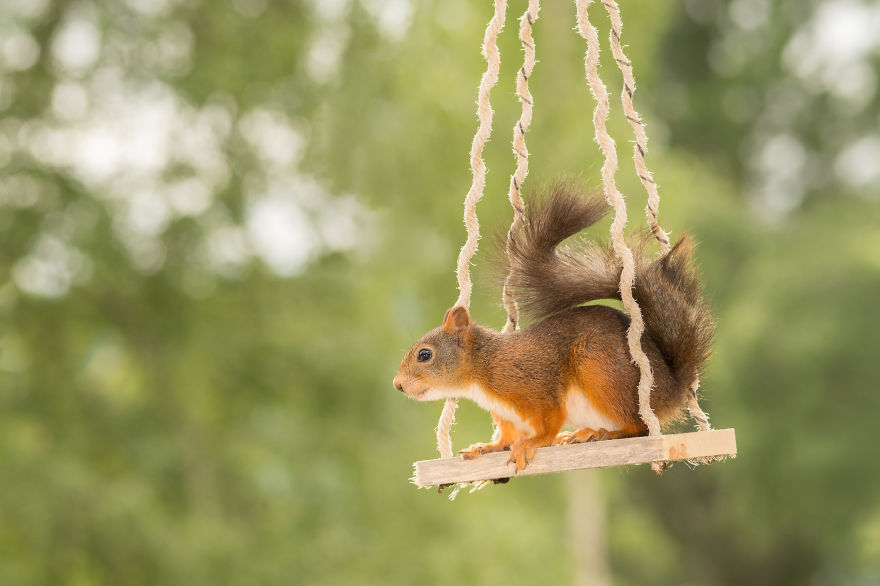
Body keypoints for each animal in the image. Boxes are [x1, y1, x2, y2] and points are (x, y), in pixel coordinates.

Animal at [392, 180, 714, 472]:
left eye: (424, 355)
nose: (397, 385)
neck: (482, 368)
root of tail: (671, 389)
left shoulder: (534, 386)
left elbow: (548, 422)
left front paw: (533, 443)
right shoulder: (506, 415)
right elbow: (506, 436)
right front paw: (487, 447)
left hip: (600, 368)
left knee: (639, 427)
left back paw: (602, 433)